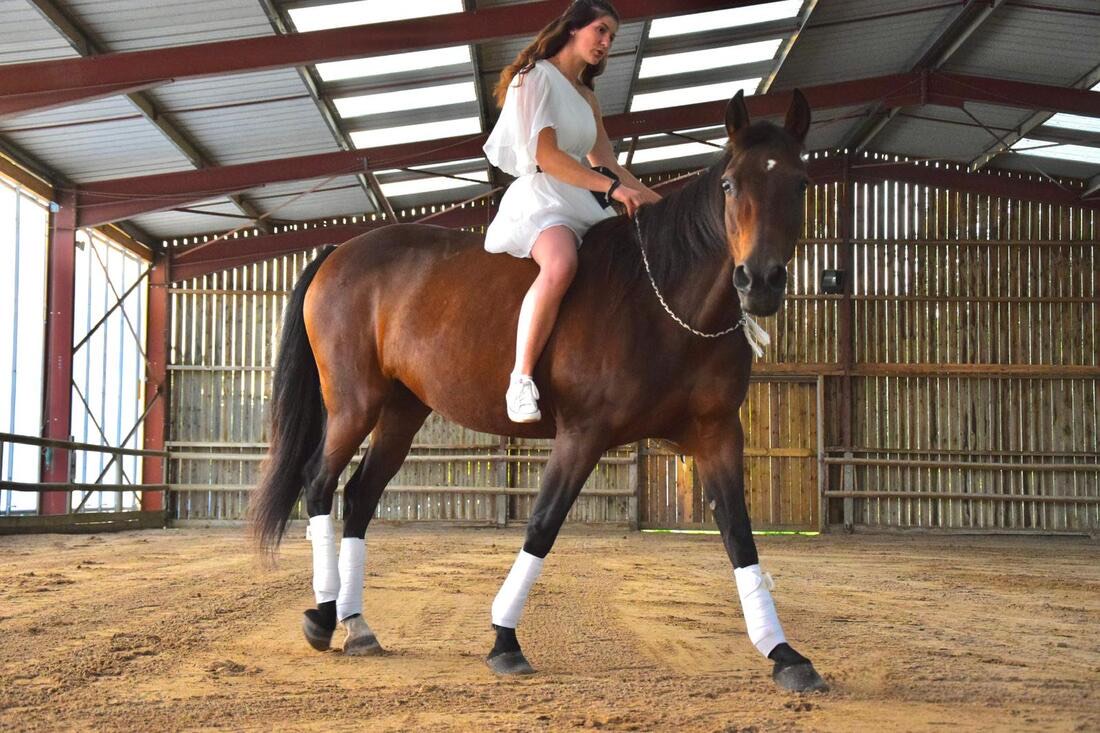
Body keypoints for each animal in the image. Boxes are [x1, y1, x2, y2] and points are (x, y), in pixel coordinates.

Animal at [250, 89, 827, 693]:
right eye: (730, 185)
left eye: (800, 183)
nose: (759, 282)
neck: (664, 300)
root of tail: (339, 251)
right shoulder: (583, 434)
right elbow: (543, 524)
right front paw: (504, 640)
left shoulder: (716, 435)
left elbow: (740, 535)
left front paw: (784, 653)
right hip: (353, 405)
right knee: (319, 482)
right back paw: (323, 615)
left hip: (403, 411)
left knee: (361, 495)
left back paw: (357, 624)